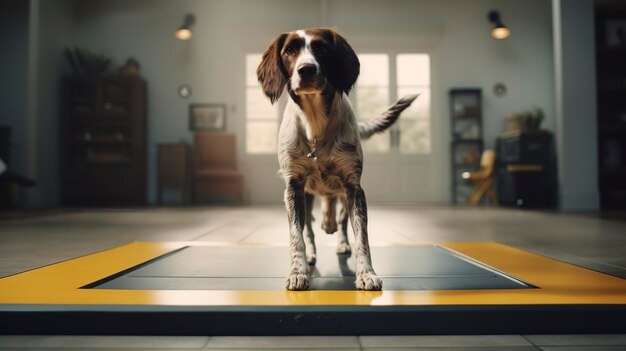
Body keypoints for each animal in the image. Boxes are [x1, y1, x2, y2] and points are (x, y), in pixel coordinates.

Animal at [254, 28, 414, 292]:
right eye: (290, 50)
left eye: (322, 48)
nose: (306, 69)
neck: (315, 124)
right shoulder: (293, 188)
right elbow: (297, 236)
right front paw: (298, 272)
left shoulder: (353, 187)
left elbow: (362, 237)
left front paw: (366, 274)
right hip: (307, 197)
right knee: (310, 226)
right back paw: (313, 249)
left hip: (341, 192)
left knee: (338, 219)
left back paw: (339, 238)